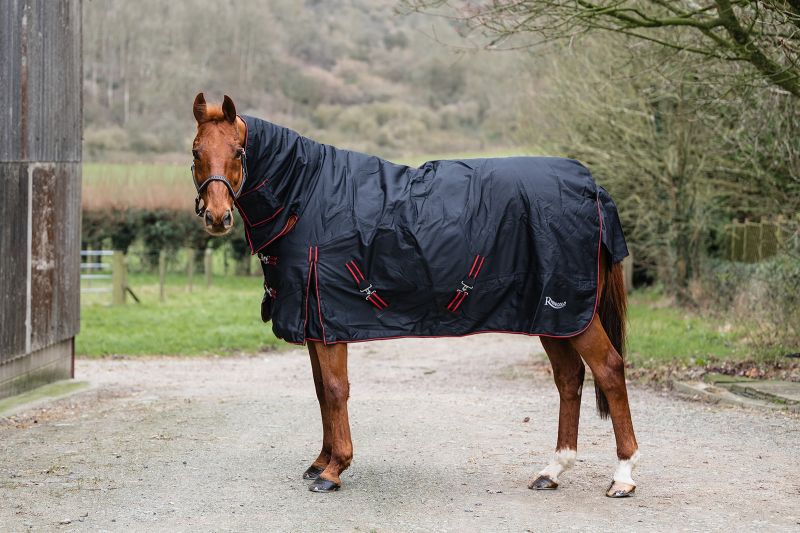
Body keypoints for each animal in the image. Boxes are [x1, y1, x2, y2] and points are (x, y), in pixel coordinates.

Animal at [190, 93, 639, 498]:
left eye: (238, 151)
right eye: (196, 152)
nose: (217, 217)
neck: (308, 196)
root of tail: (593, 189)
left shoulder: (329, 319)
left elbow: (336, 390)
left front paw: (334, 470)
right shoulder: (315, 322)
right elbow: (321, 391)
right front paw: (321, 461)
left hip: (571, 312)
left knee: (609, 370)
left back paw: (623, 476)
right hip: (553, 317)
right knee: (569, 378)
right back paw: (552, 470)